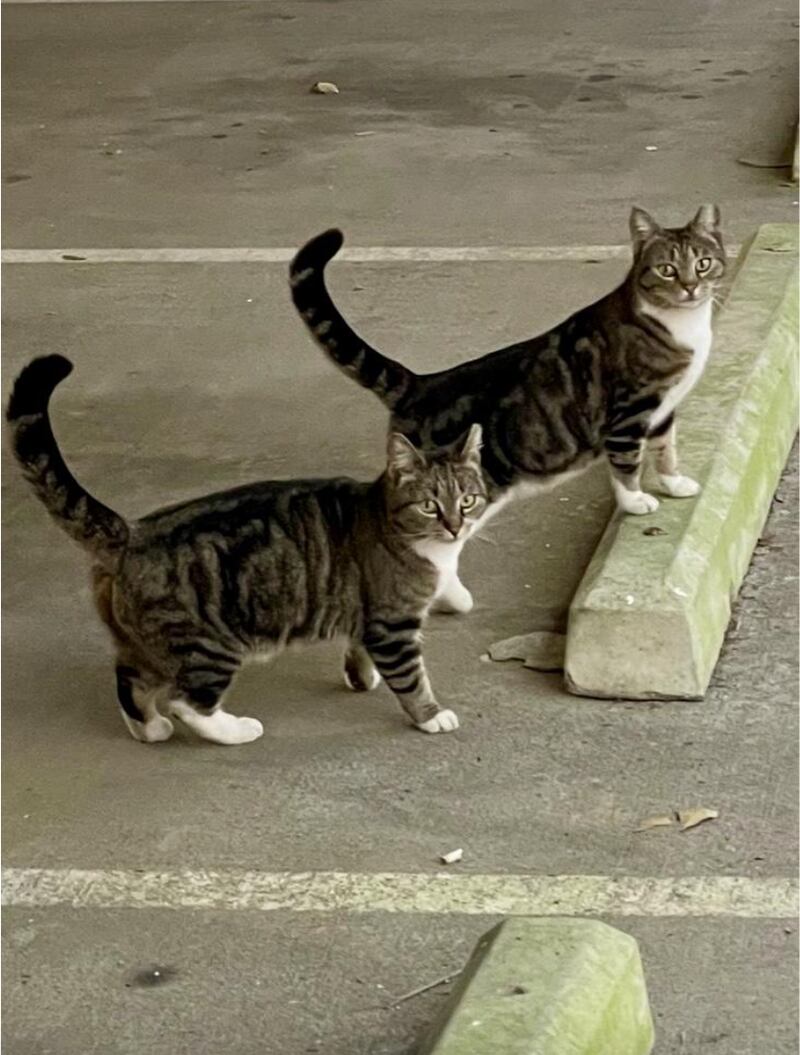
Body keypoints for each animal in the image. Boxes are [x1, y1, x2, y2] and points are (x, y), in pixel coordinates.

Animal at [7, 358, 489, 746]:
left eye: (467, 500)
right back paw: (236, 729)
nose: (455, 525)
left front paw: (361, 675)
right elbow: (410, 677)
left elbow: (359, 646)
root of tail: (132, 533)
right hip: (209, 644)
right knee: (186, 701)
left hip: (146, 644)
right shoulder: (393, 624)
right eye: (429, 505)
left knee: (131, 683)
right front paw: (431, 716)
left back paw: (150, 729)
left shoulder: (369, 616)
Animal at [291, 204, 730, 616]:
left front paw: (675, 483)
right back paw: (453, 597)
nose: (691, 287)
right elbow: (627, 463)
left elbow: (666, 448)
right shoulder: (630, 411)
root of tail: (419, 383)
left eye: (703, 263)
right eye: (667, 269)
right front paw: (635, 501)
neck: (680, 326)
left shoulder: (662, 410)